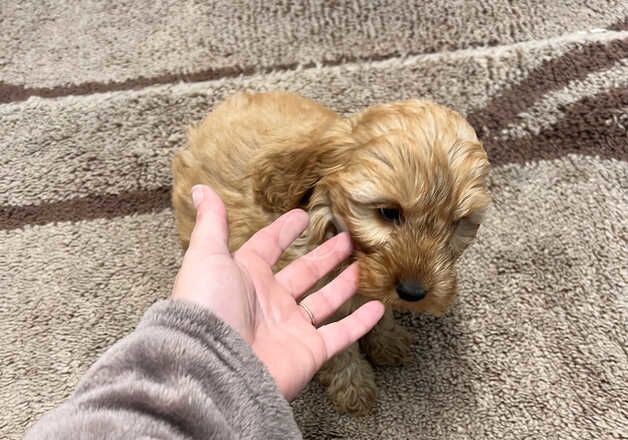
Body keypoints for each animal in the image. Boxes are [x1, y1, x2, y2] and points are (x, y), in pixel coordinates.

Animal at [172, 91, 490, 414]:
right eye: (388, 212)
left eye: (458, 223)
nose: (413, 292)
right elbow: (340, 349)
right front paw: (353, 387)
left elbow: (380, 308)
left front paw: (386, 340)